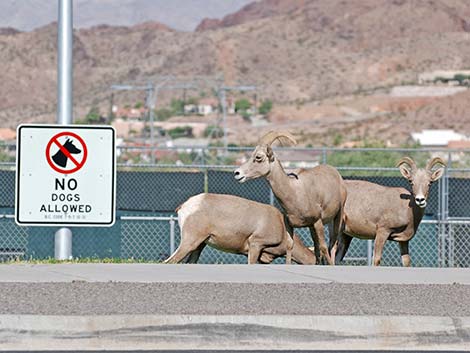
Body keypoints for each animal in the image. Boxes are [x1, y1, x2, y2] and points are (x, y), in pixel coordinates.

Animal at [233, 132, 346, 264]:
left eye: (258, 157)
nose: (237, 173)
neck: (295, 193)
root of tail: (336, 174)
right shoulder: (290, 226)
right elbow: (289, 247)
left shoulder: (317, 222)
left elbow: (323, 247)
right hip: (313, 227)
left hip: (337, 217)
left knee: (332, 244)